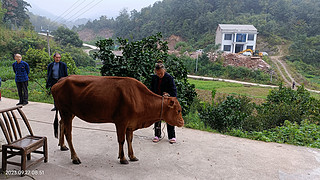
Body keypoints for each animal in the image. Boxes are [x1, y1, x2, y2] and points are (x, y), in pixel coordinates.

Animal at [51, 74, 184, 165]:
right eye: (178, 110)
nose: (182, 122)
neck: (139, 98)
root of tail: (61, 80)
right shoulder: (121, 122)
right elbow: (121, 140)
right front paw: (123, 158)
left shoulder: (130, 124)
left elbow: (130, 140)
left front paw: (132, 156)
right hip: (66, 111)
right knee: (68, 133)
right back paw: (75, 157)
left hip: (69, 113)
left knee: (61, 124)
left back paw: (62, 146)